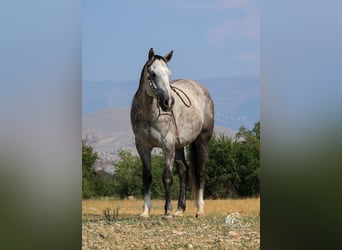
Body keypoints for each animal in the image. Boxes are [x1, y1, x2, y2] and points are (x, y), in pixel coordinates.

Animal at [131, 47, 214, 218]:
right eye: (153, 74)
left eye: (169, 74)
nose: (168, 102)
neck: (149, 114)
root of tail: (201, 89)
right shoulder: (142, 146)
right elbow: (147, 177)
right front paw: (145, 212)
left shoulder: (167, 145)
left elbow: (167, 177)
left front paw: (167, 211)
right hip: (179, 146)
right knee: (183, 172)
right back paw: (180, 210)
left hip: (202, 140)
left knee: (200, 172)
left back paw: (199, 210)